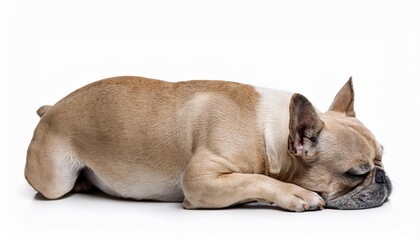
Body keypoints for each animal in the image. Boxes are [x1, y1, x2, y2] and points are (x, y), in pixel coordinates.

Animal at [24, 76, 392, 211]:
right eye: (356, 172)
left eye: (382, 159)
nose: (384, 178)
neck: (272, 135)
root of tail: (50, 109)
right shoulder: (200, 179)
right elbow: (254, 179)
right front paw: (294, 194)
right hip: (55, 179)